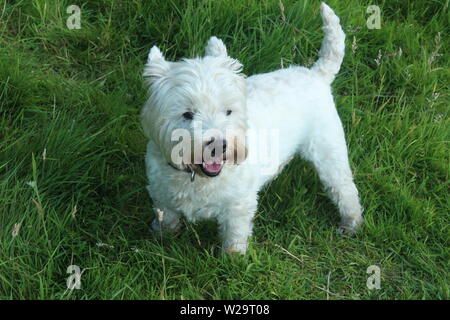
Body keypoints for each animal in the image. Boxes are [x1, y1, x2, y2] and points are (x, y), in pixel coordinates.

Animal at [142, 2, 364, 252]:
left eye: (228, 111)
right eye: (187, 114)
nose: (219, 146)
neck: (198, 178)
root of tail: (316, 74)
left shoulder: (238, 205)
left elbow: (234, 236)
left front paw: (233, 257)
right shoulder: (161, 195)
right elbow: (166, 220)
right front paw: (160, 238)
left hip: (328, 148)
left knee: (344, 187)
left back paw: (351, 223)